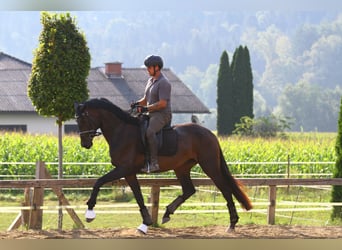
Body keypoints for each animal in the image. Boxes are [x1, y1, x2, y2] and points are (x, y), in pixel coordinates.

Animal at [74, 98, 251, 233]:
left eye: (83, 119)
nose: (84, 144)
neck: (121, 130)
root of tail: (210, 134)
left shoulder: (123, 168)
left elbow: (99, 182)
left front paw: (89, 213)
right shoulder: (129, 172)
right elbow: (138, 195)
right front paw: (145, 223)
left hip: (210, 166)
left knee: (225, 189)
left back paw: (232, 224)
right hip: (182, 168)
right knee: (189, 190)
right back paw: (167, 213)